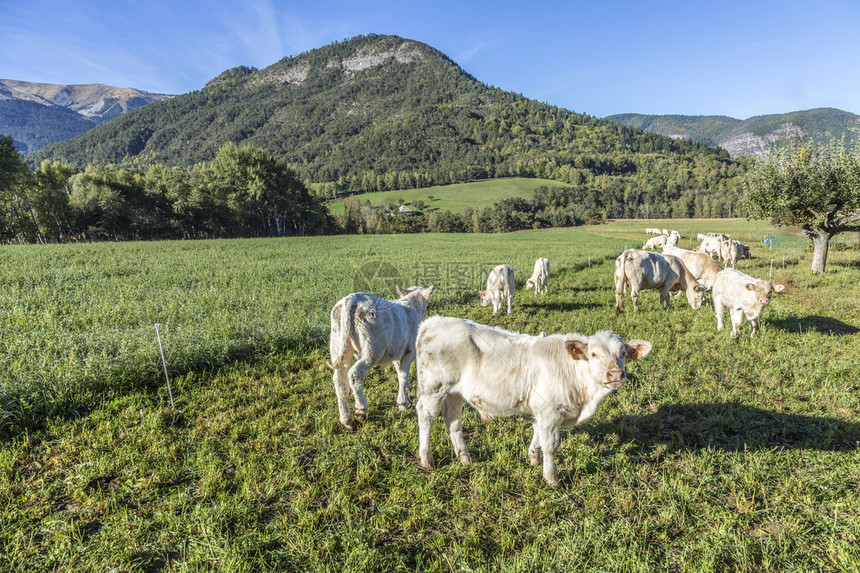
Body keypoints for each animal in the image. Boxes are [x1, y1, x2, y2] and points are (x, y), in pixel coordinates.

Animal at [330, 284, 436, 426]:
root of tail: (352, 299)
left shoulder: (396, 350)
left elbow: (400, 372)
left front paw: (406, 389)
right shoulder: (409, 351)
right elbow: (403, 374)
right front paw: (402, 403)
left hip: (338, 347)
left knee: (339, 379)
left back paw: (345, 418)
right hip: (372, 351)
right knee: (354, 374)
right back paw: (360, 410)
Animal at [416, 316, 652, 484]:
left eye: (623, 353)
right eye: (594, 354)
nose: (615, 374)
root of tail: (434, 320)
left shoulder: (544, 411)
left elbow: (538, 434)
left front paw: (533, 459)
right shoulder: (550, 410)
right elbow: (551, 445)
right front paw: (551, 478)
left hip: (454, 392)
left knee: (453, 421)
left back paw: (465, 458)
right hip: (433, 388)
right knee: (426, 416)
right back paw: (426, 459)